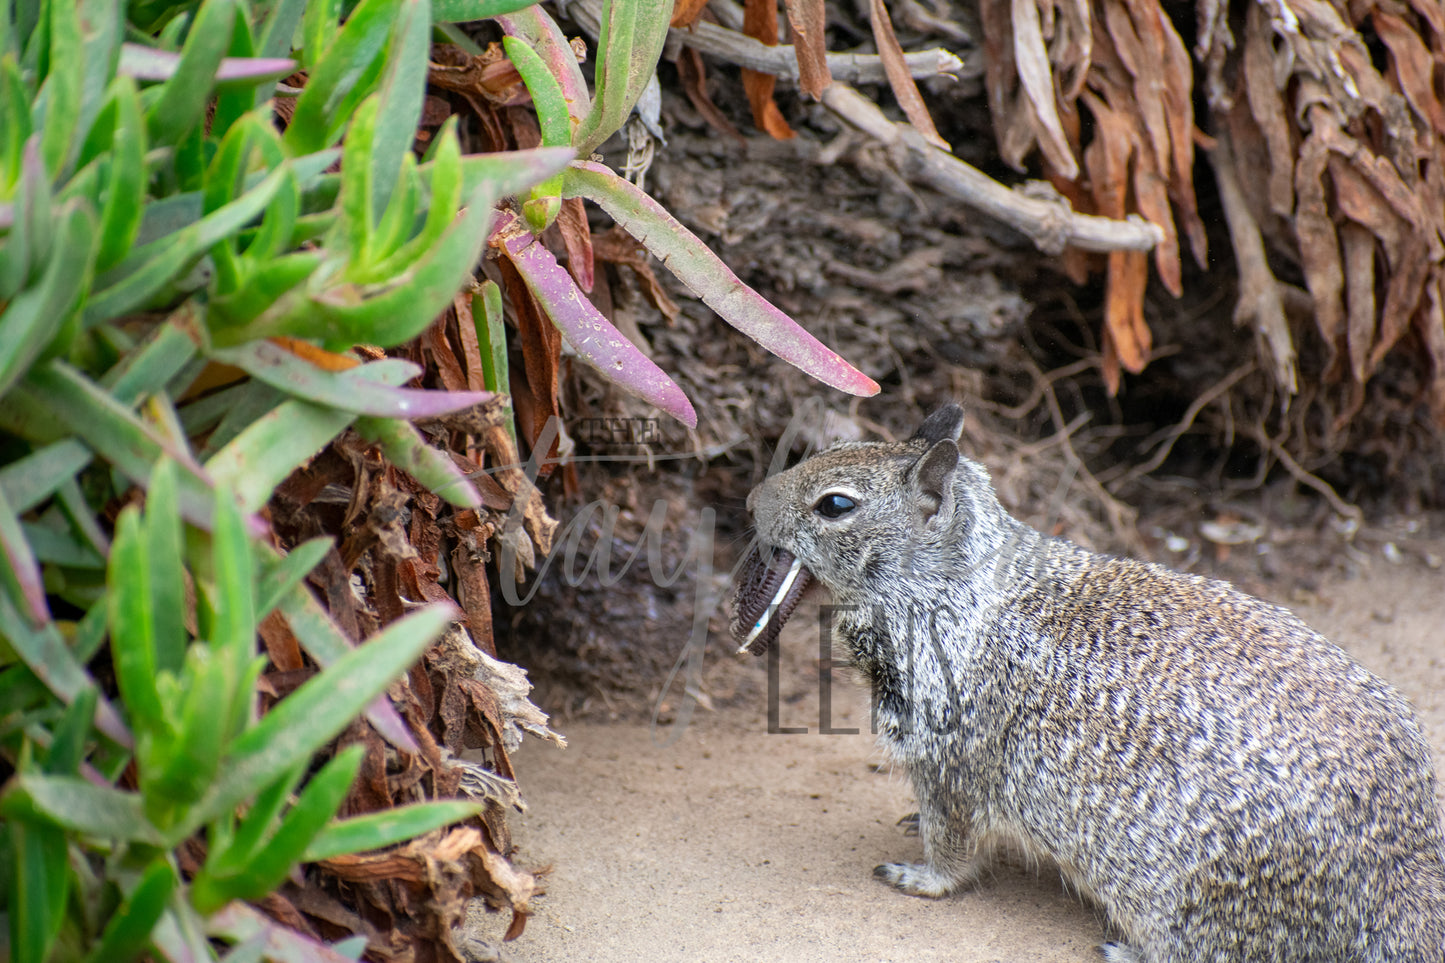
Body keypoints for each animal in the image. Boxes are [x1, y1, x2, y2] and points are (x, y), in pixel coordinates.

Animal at [734, 401, 1445, 960]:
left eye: (835, 505)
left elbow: (952, 850)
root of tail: (1409, 882)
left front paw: (919, 876)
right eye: (829, 451)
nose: (747, 500)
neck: (956, 587)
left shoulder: (951, 764)